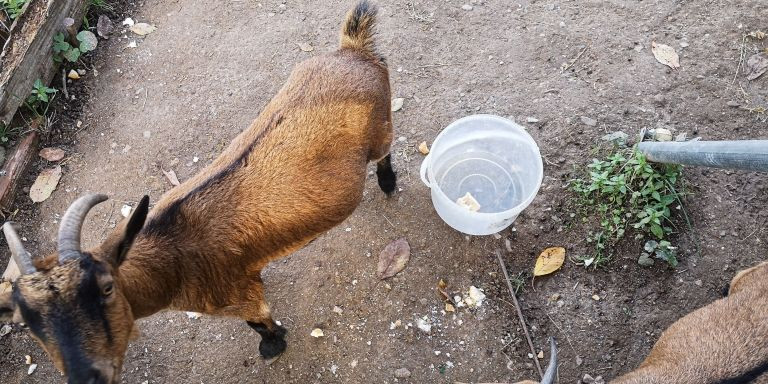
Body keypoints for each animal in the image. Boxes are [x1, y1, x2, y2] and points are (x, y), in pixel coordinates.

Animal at [0, 1, 396, 382]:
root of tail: (353, 50)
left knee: (386, 152)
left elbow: (258, 321)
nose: (88, 375)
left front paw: (273, 346)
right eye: (29, 322)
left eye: (107, 287)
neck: (174, 256)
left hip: (381, 127)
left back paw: (388, 183)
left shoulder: (238, 296)